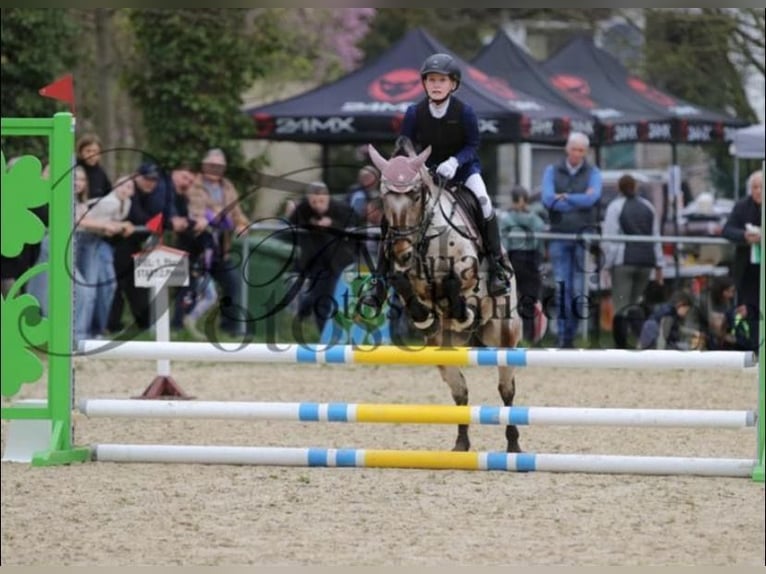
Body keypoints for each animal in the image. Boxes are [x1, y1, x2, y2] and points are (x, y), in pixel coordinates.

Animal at [368, 140, 524, 454]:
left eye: (415, 195)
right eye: (383, 196)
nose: (401, 252)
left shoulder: (467, 272)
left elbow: (454, 284)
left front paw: (461, 310)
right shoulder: (405, 277)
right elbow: (403, 283)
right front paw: (423, 316)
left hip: (504, 333)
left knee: (506, 390)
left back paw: (513, 444)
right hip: (444, 348)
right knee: (460, 392)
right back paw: (461, 444)